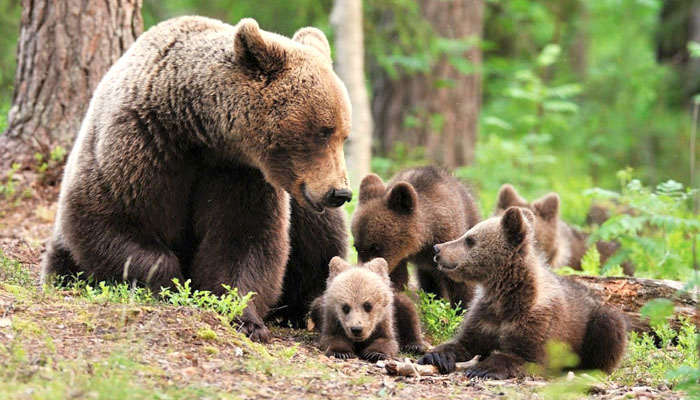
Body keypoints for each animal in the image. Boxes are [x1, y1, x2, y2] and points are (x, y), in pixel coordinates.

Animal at [40, 17, 352, 342]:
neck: (197, 131)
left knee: (321, 238)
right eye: (324, 131)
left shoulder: (240, 175)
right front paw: (169, 284)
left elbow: (243, 239)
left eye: (344, 133)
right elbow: (111, 219)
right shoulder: (139, 145)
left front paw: (245, 319)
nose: (340, 192)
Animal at [350, 166, 482, 350]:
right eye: (356, 246)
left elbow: (459, 283)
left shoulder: (450, 239)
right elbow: (398, 283)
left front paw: (460, 314)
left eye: (376, 247)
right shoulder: (398, 260)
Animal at [422, 206, 628, 378]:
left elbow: (524, 357)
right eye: (467, 234)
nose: (437, 248)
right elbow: (464, 342)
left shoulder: (538, 320)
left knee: (609, 326)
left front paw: (482, 369)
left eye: (470, 240)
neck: (504, 293)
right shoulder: (484, 316)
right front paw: (436, 356)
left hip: (595, 321)